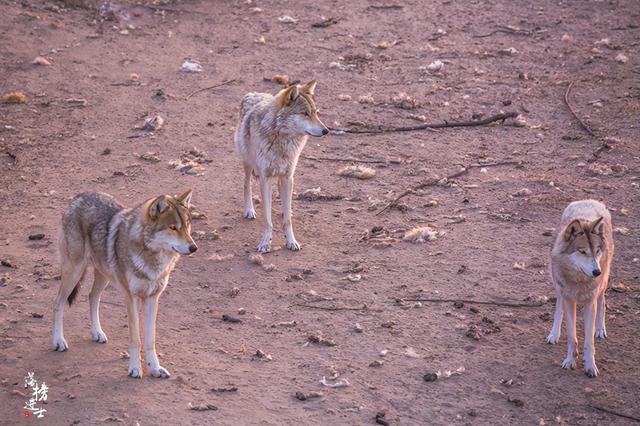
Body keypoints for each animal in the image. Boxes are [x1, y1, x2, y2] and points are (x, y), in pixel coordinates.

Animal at [53, 190, 195, 380]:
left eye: (187, 225)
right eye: (173, 227)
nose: (194, 247)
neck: (153, 259)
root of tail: (78, 197)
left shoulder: (153, 298)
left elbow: (150, 340)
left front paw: (155, 368)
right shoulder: (131, 298)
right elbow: (136, 339)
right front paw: (135, 368)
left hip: (103, 275)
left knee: (92, 297)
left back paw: (97, 333)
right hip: (74, 272)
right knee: (58, 303)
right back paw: (58, 341)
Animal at [232, 80, 328, 253]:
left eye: (315, 113)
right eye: (305, 113)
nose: (326, 130)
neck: (282, 141)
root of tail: (253, 93)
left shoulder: (288, 177)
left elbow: (287, 220)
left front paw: (291, 241)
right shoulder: (265, 178)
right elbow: (267, 219)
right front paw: (265, 242)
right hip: (248, 162)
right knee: (246, 184)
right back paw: (249, 210)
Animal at [544, 200, 616, 376]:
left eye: (597, 251)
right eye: (582, 252)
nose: (597, 272)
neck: (578, 281)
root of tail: (589, 200)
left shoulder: (590, 303)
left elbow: (588, 342)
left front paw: (590, 366)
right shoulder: (569, 300)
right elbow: (572, 336)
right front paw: (570, 360)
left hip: (603, 282)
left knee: (602, 301)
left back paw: (600, 329)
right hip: (558, 286)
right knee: (558, 307)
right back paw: (554, 334)